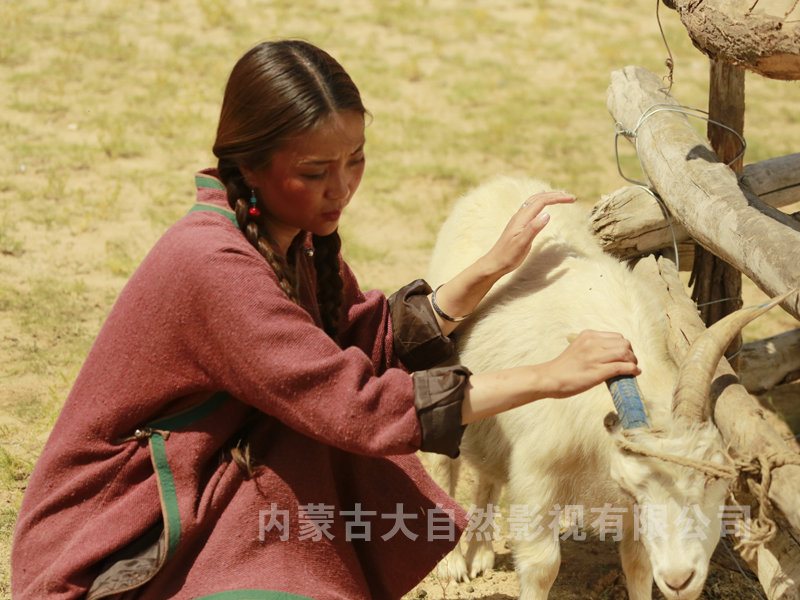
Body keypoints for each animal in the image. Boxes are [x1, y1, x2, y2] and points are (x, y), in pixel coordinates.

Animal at [426, 176, 779, 600]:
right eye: (637, 486)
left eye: (713, 478)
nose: (680, 578)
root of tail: (501, 182)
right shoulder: (537, 476)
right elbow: (542, 566)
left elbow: (639, 565)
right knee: (445, 464)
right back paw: (450, 566)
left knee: (488, 470)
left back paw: (479, 552)